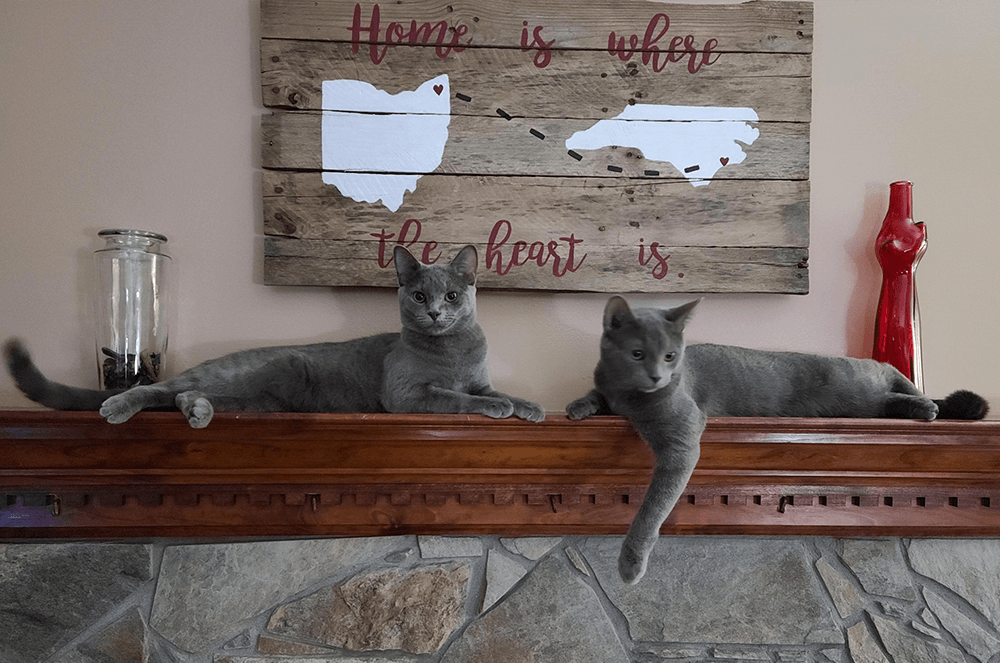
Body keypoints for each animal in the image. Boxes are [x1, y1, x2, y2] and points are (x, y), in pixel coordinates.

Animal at [5, 246, 548, 428]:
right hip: (262, 372)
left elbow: (492, 389)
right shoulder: (408, 396)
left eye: (453, 296)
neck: (452, 352)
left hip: (261, 399)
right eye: (418, 296)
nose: (435, 312)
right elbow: (457, 399)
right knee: (162, 388)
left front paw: (530, 406)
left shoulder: (477, 377)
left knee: (184, 396)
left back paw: (198, 411)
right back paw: (119, 405)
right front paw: (499, 408)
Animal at [568, 298, 988, 584]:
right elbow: (597, 395)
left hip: (860, 388)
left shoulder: (682, 438)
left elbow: (652, 507)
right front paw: (576, 407)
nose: (659, 376)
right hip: (862, 399)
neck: (630, 397)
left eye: (671, 356)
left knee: (894, 380)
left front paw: (630, 563)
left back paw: (926, 407)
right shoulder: (610, 390)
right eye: (638, 353)